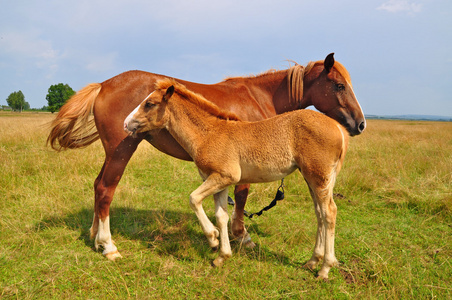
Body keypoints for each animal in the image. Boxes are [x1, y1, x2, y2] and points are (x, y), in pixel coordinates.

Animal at [123, 79, 350, 278]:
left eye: (149, 103)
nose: (126, 124)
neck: (208, 134)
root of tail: (338, 128)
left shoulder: (224, 176)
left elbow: (193, 199)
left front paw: (212, 239)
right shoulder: (220, 182)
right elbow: (221, 215)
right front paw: (222, 256)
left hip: (318, 176)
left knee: (329, 212)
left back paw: (325, 269)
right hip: (313, 178)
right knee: (319, 213)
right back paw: (312, 261)